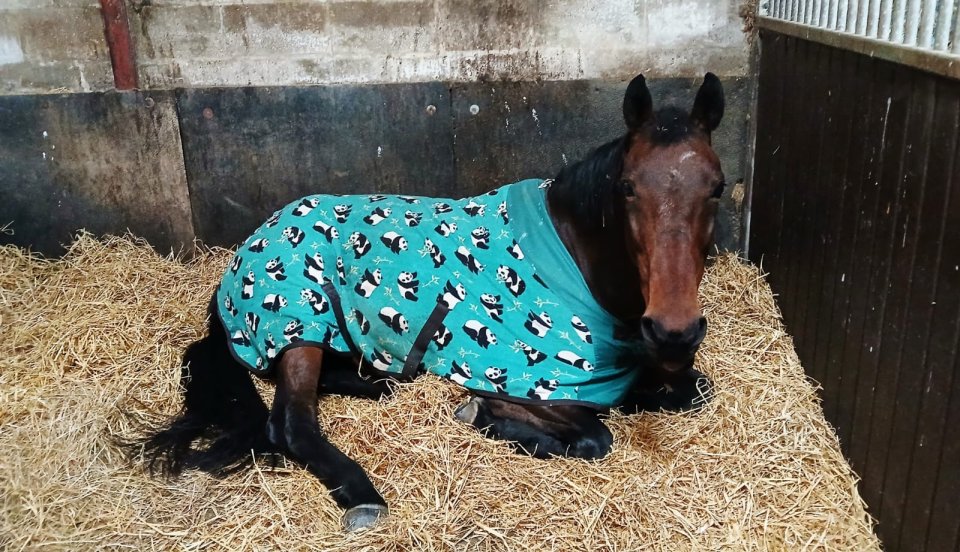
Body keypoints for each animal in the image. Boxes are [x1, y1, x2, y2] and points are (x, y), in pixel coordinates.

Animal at [129, 72, 726, 532]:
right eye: (627, 187)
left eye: (717, 187)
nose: (673, 331)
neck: (574, 264)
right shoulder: (519, 381)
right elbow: (594, 435)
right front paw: (487, 418)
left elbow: (691, 392)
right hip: (298, 321)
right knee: (292, 423)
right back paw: (362, 495)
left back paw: (380, 384)